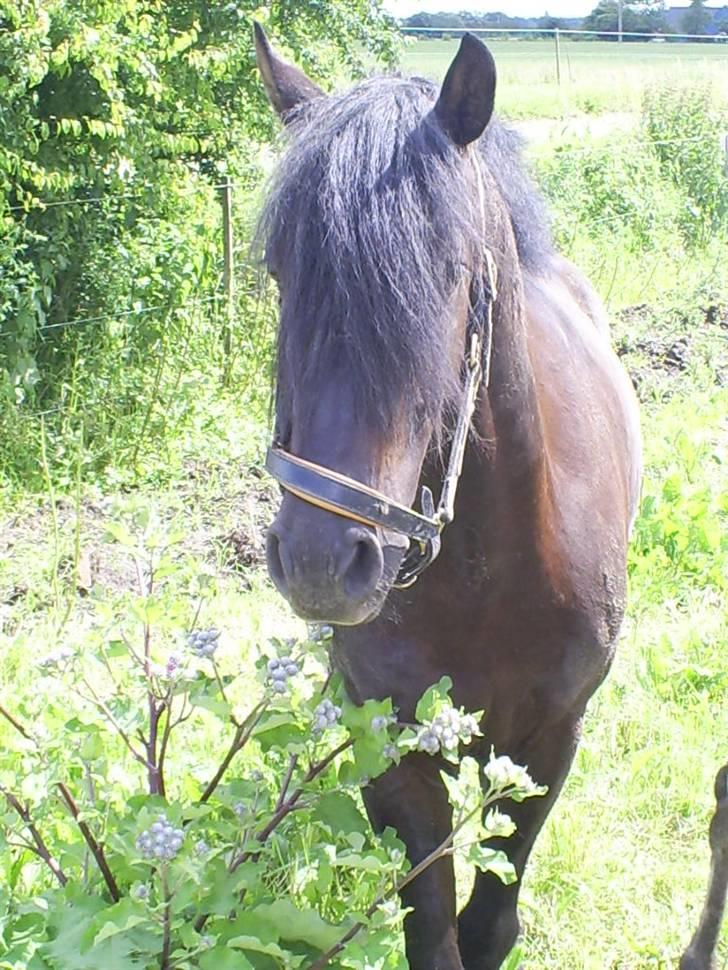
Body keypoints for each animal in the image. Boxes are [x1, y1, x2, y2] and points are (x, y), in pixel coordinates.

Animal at [256, 28, 644, 968]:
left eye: (448, 275)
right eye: (281, 274)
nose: (321, 561)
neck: (491, 569)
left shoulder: (550, 741)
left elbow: (492, 919)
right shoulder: (395, 746)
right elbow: (434, 929)